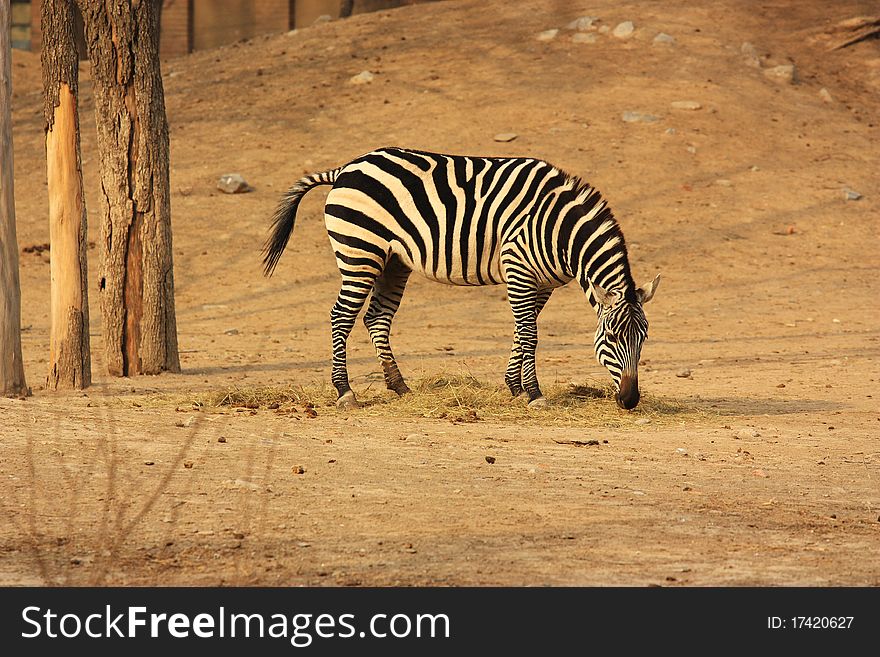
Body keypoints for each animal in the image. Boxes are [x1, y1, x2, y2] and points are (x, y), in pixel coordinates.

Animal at [262, 147, 660, 410]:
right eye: (611, 338)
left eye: (643, 339)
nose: (629, 401)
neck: (560, 231)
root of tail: (346, 168)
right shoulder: (517, 267)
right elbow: (529, 333)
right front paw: (533, 394)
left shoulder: (542, 283)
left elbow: (522, 331)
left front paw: (515, 386)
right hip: (360, 251)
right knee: (341, 316)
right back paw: (345, 391)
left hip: (393, 261)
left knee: (376, 318)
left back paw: (399, 385)